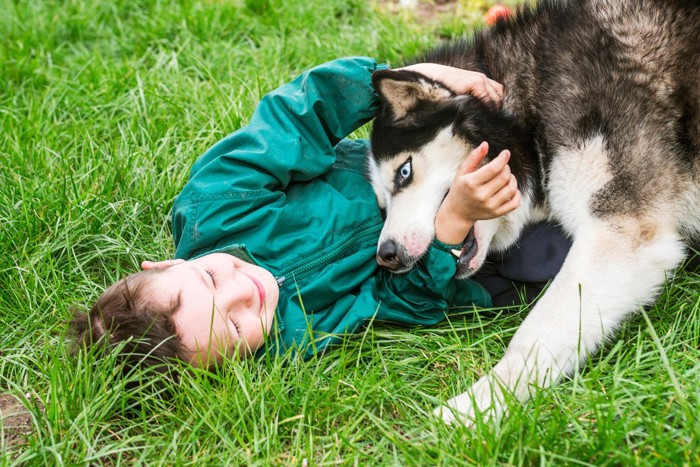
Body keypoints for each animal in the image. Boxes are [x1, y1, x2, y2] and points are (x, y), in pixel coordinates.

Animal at [370, 0, 696, 424]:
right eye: (381, 205)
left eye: (404, 172)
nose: (386, 255)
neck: (529, 109)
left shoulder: (619, 233)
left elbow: (535, 335)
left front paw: (473, 411)